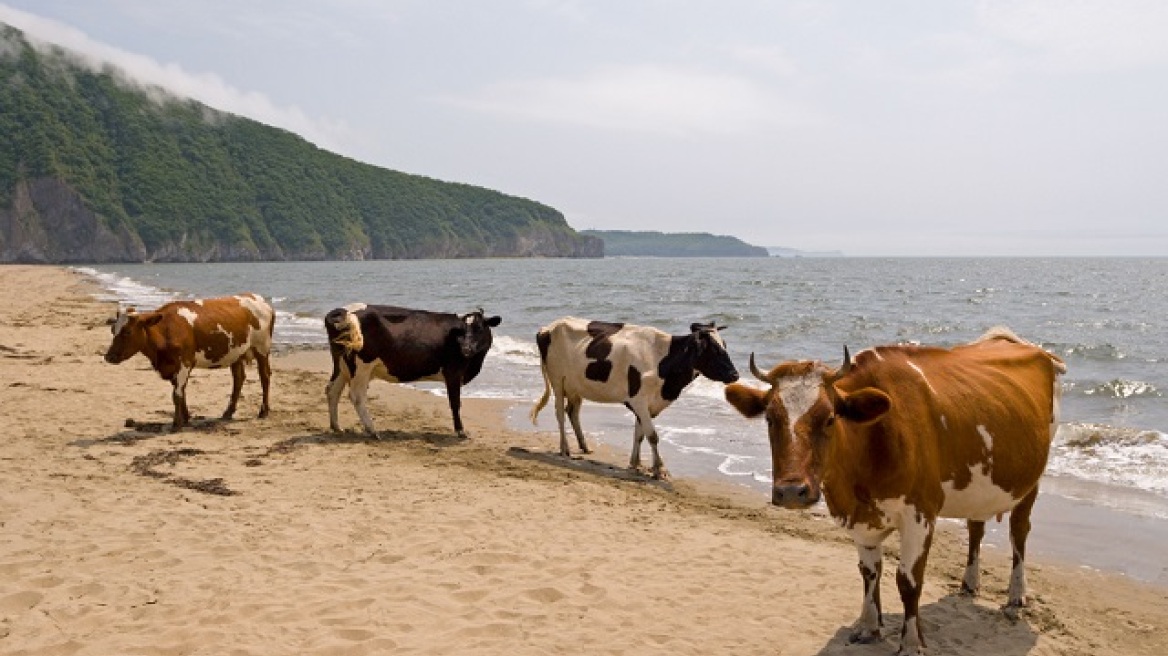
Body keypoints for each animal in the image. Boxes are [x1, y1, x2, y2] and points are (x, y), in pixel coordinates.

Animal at [103, 291, 275, 429]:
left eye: (127, 332)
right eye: (112, 330)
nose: (108, 356)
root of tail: (259, 299)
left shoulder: (183, 363)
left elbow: (177, 394)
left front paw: (177, 423)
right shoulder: (172, 366)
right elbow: (181, 392)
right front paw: (185, 419)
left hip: (262, 348)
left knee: (265, 376)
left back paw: (263, 411)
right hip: (236, 353)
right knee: (238, 379)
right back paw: (228, 412)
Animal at [324, 303, 502, 436]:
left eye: (479, 328)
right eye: (462, 331)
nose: (465, 349)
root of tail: (344, 310)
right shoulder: (453, 372)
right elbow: (455, 402)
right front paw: (460, 431)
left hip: (342, 365)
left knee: (332, 390)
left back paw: (336, 427)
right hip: (361, 366)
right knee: (356, 396)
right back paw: (372, 430)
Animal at [532, 315, 738, 478]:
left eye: (725, 346)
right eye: (714, 350)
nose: (735, 375)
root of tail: (548, 327)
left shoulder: (646, 403)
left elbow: (639, 434)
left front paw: (635, 463)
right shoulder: (639, 400)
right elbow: (652, 435)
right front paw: (659, 469)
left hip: (575, 386)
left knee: (572, 411)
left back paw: (584, 446)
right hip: (557, 380)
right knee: (559, 412)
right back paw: (564, 449)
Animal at [728, 326, 1069, 653]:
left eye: (829, 418)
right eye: (770, 418)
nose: (791, 491)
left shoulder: (920, 514)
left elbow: (908, 581)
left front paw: (911, 643)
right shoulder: (860, 518)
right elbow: (869, 572)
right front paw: (869, 627)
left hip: (1032, 478)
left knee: (1019, 531)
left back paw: (1016, 595)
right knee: (976, 526)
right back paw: (969, 583)